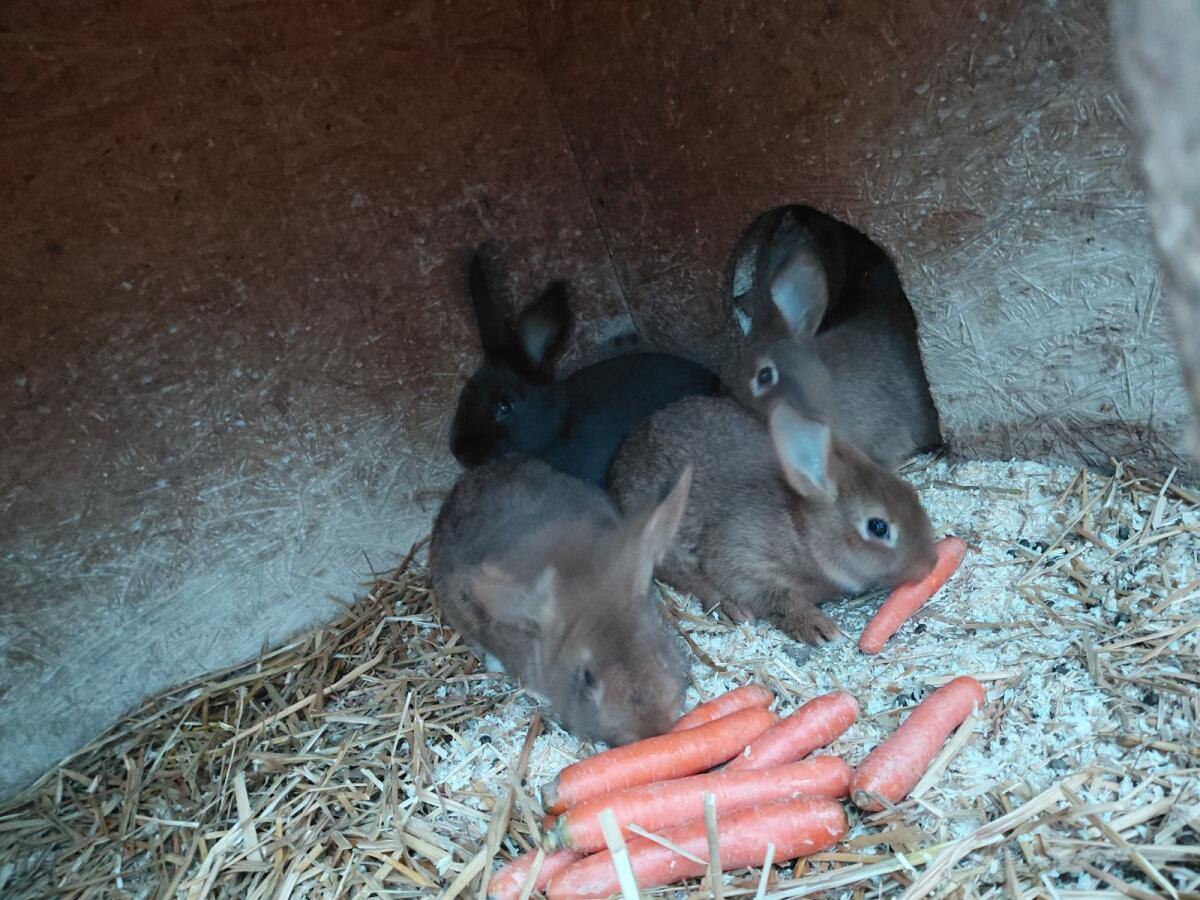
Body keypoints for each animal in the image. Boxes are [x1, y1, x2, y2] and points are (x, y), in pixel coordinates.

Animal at [609, 394, 938, 646]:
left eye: (909, 492)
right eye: (878, 526)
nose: (931, 563)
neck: (802, 534)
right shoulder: (744, 559)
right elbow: (772, 596)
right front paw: (817, 627)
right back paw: (732, 608)